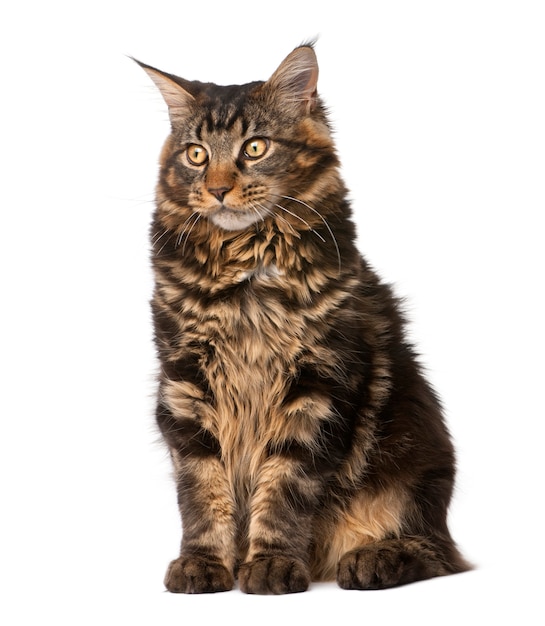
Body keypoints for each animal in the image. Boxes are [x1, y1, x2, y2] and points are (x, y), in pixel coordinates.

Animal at [135, 42, 468, 588]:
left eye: (254, 148)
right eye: (196, 154)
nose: (219, 188)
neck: (245, 269)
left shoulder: (319, 384)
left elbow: (284, 488)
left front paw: (271, 563)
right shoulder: (186, 383)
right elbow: (202, 492)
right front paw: (203, 563)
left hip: (414, 462)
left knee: (437, 551)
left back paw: (373, 559)